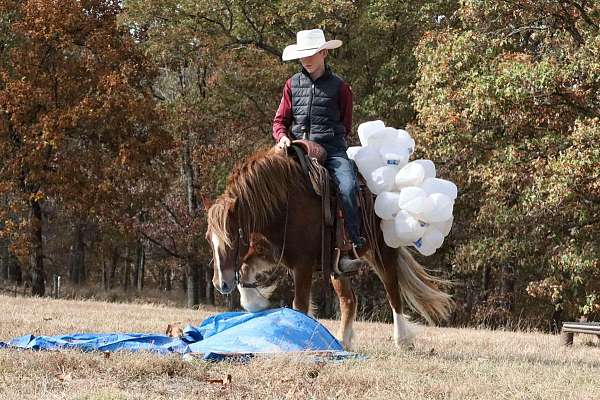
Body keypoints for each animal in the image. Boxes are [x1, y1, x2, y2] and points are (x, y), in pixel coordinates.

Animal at [204, 145, 452, 348]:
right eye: (208, 238)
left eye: (233, 237)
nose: (220, 283)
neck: (284, 203)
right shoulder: (270, 253)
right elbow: (246, 271)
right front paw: (257, 304)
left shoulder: (302, 265)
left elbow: (300, 304)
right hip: (336, 265)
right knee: (349, 300)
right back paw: (343, 341)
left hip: (383, 252)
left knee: (393, 292)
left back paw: (402, 340)